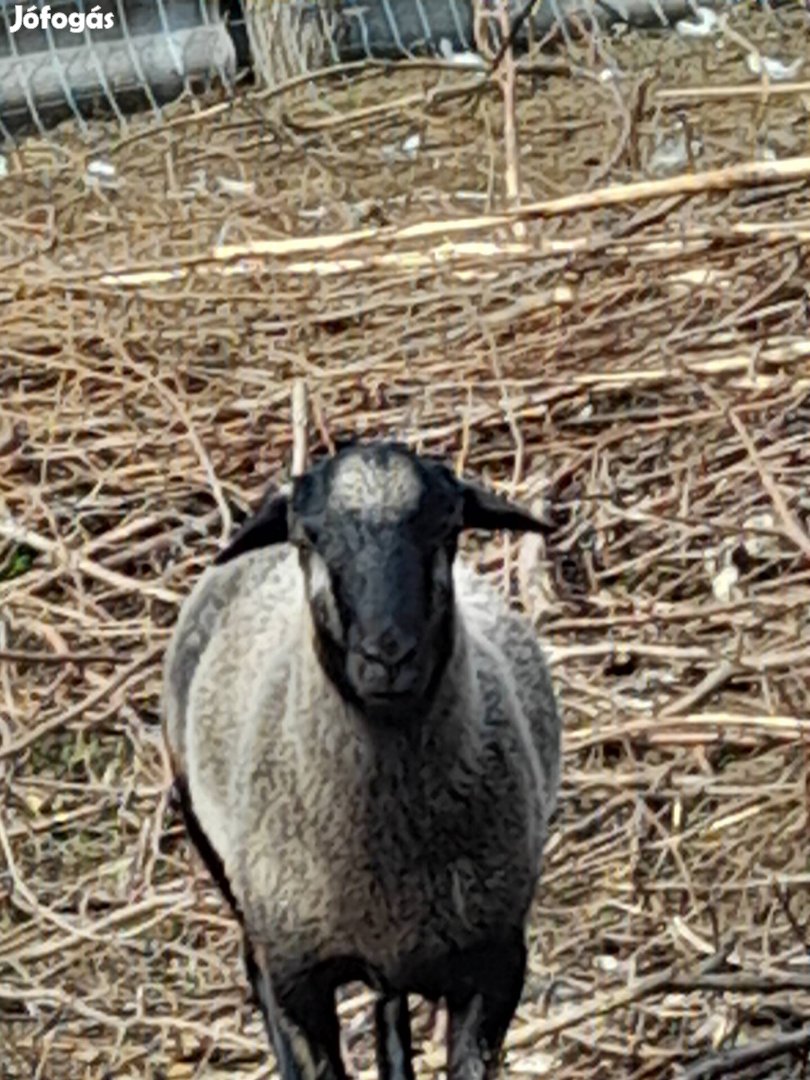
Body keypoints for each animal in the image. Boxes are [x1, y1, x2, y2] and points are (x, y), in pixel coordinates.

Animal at [162, 438, 561, 1080]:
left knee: (389, 1013)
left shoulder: (497, 964)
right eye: (309, 538)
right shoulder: (297, 976)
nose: (387, 656)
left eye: (446, 527)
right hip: (225, 866)